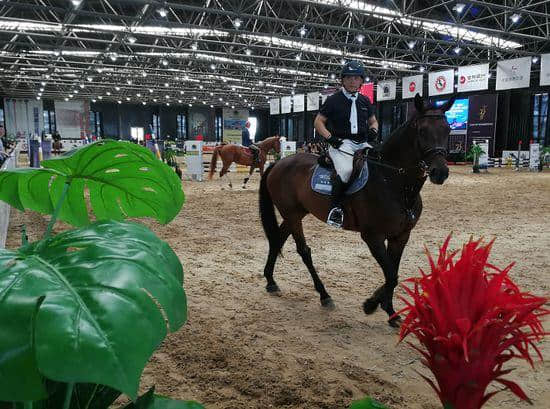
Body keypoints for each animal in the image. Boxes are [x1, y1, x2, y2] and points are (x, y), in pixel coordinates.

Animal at [260, 94, 454, 326]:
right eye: (422, 131)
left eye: (448, 129)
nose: (440, 172)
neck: (393, 182)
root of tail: (279, 163)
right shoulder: (373, 237)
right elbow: (392, 275)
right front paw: (371, 305)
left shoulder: (400, 236)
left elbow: (393, 272)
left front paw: (390, 312)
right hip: (291, 214)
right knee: (303, 250)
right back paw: (324, 295)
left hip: (296, 214)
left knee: (277, 239)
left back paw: (271, 280)